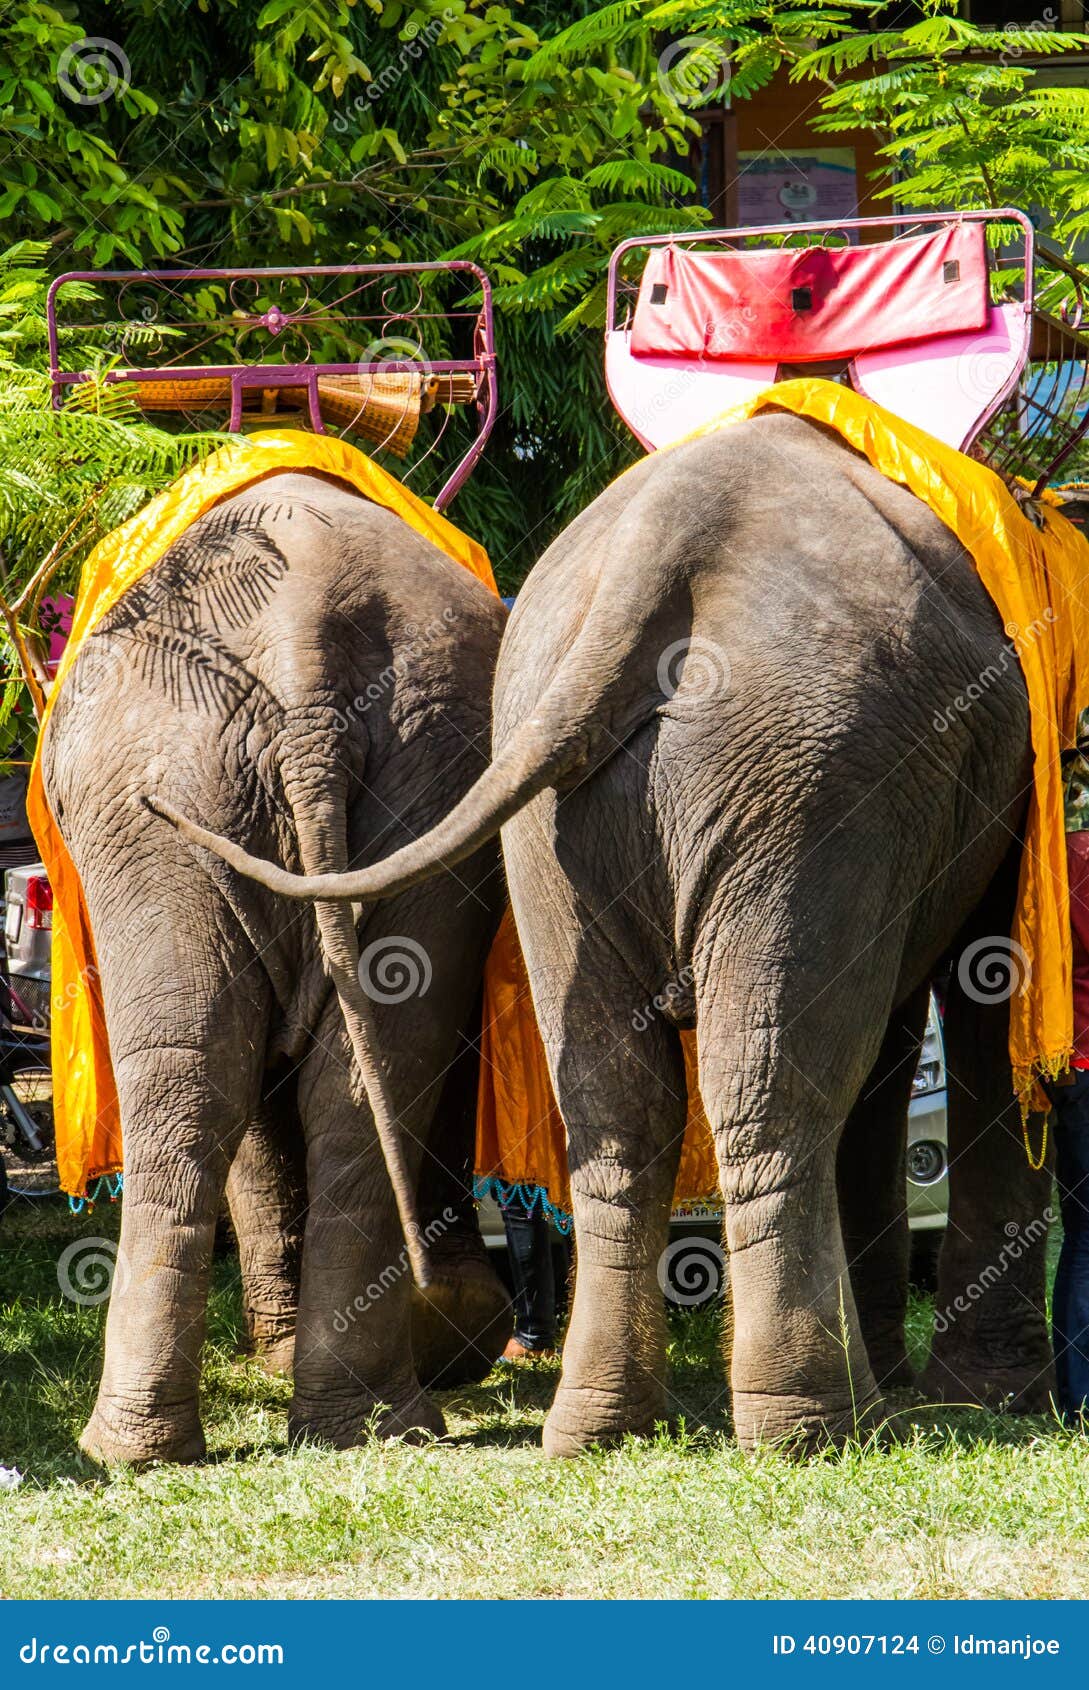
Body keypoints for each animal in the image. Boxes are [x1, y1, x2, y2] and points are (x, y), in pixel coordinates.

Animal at [155, 414, 1057, 1456]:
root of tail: (658, 549)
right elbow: (984, 988)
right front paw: (994, 1399)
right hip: (820, 780)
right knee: (777, 1094)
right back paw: (821, 1431)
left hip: (570, 800)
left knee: (618, 1108)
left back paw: (603, 1427)